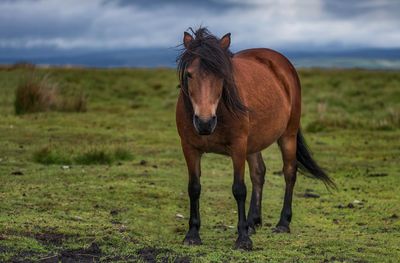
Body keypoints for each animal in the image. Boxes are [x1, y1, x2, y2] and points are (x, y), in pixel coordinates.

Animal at [175, 27, 334, 252]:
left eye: (222, 75)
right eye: (190, 74)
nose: (205, 123)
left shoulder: (238, 147)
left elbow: (239, 189)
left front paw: (242, 239)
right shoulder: (189, 148)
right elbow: (194, 188)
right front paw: (192, 234)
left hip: (287, 135)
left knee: (289, 173)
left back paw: (283, 223)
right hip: (253, 144)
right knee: (259, 173)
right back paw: (253, 222)